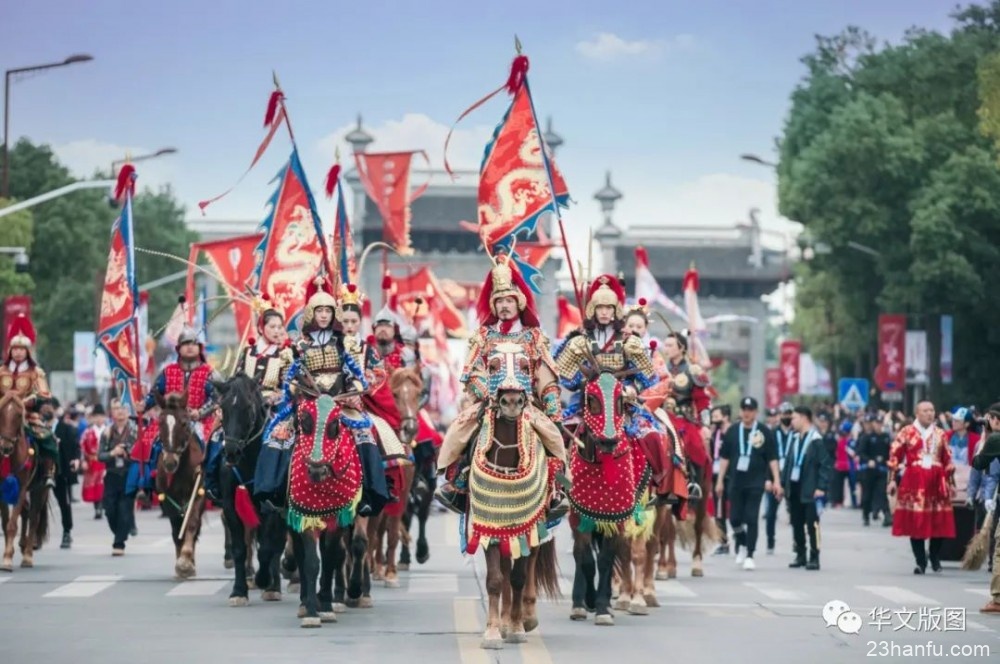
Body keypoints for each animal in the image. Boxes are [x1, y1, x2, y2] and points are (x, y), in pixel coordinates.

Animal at [0, 394, 49, 572]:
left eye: (17, 416)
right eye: (1, 414)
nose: (5, 447)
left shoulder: (21, 488)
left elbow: (12, 524)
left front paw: (7, 559)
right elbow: (6, 522)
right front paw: (8, 554)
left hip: (40, 489)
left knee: (34, 517)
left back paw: (28, 555)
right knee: (26, 512)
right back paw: (22, 545)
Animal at [152, 392, 205, 580]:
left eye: (183, 423)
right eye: (160, 422)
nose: (169, 463)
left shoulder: (198, 493)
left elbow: (192, 524)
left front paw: (185, 560)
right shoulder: (167, 498)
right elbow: (176, 529)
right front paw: (181, 561)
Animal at [213, 374, 286, 608]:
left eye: (248, 407)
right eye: (223, 407)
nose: (231, 452)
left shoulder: (271, 506)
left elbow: (267, 547)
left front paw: (264, 579)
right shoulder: (231, 505)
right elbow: (240, 548)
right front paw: (238, 591)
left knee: (276, 544)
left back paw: (272, 587)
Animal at [568, 370, 652, 624]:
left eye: (620, 401)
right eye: (591, 399)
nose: (608, 441)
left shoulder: (617, 517)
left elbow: (606, 558)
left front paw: (603, 607)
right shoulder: (578, 515)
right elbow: (584, 557)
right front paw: (581, 603)